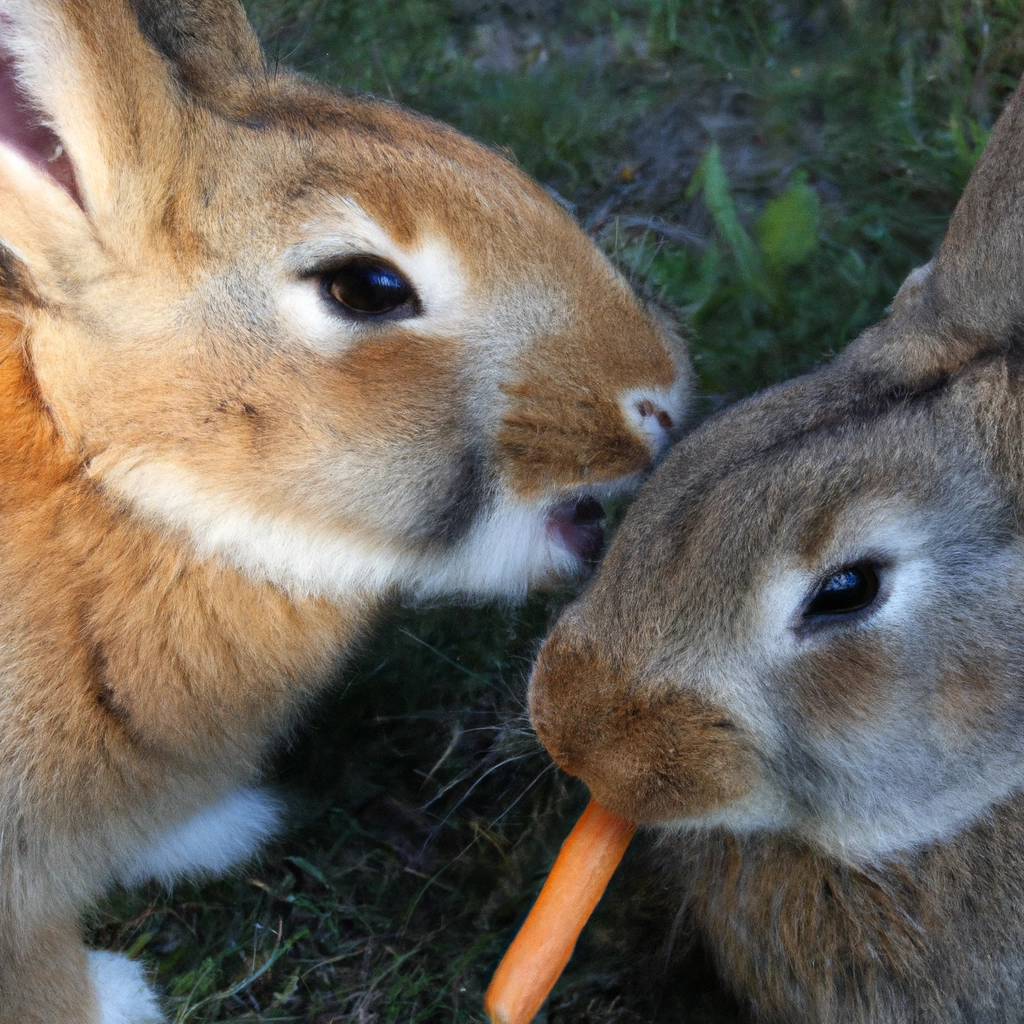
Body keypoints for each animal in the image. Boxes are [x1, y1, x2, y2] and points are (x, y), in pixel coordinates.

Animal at [0, 0, 688, 1019]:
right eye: (366, 287)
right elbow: (34, 967)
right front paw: (117, 999)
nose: (661, 400)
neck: (110, 475)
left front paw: (217, 828)